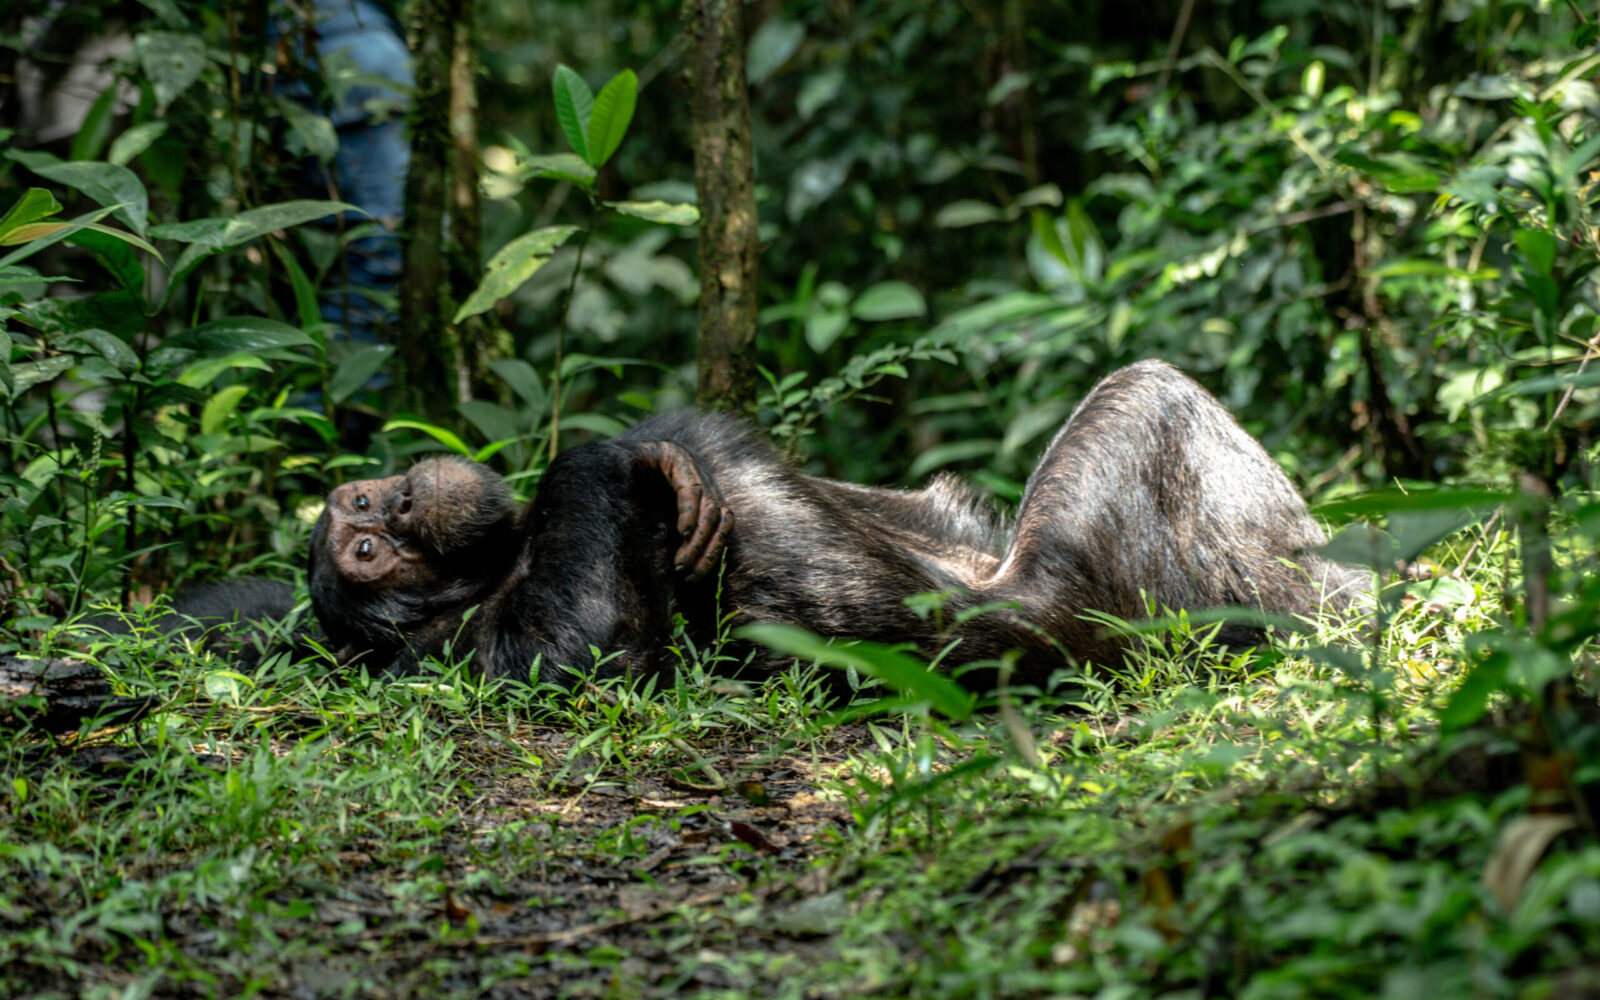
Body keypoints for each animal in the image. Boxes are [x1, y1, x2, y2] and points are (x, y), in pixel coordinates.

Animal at [306, 360, 1368, 689]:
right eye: (367, 551)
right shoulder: (483, 645)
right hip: (1131, 600)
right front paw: (626, 460)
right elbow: (588, 646)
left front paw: (659, 452)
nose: (398, 500)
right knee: (1148, 395)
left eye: (360, 507)